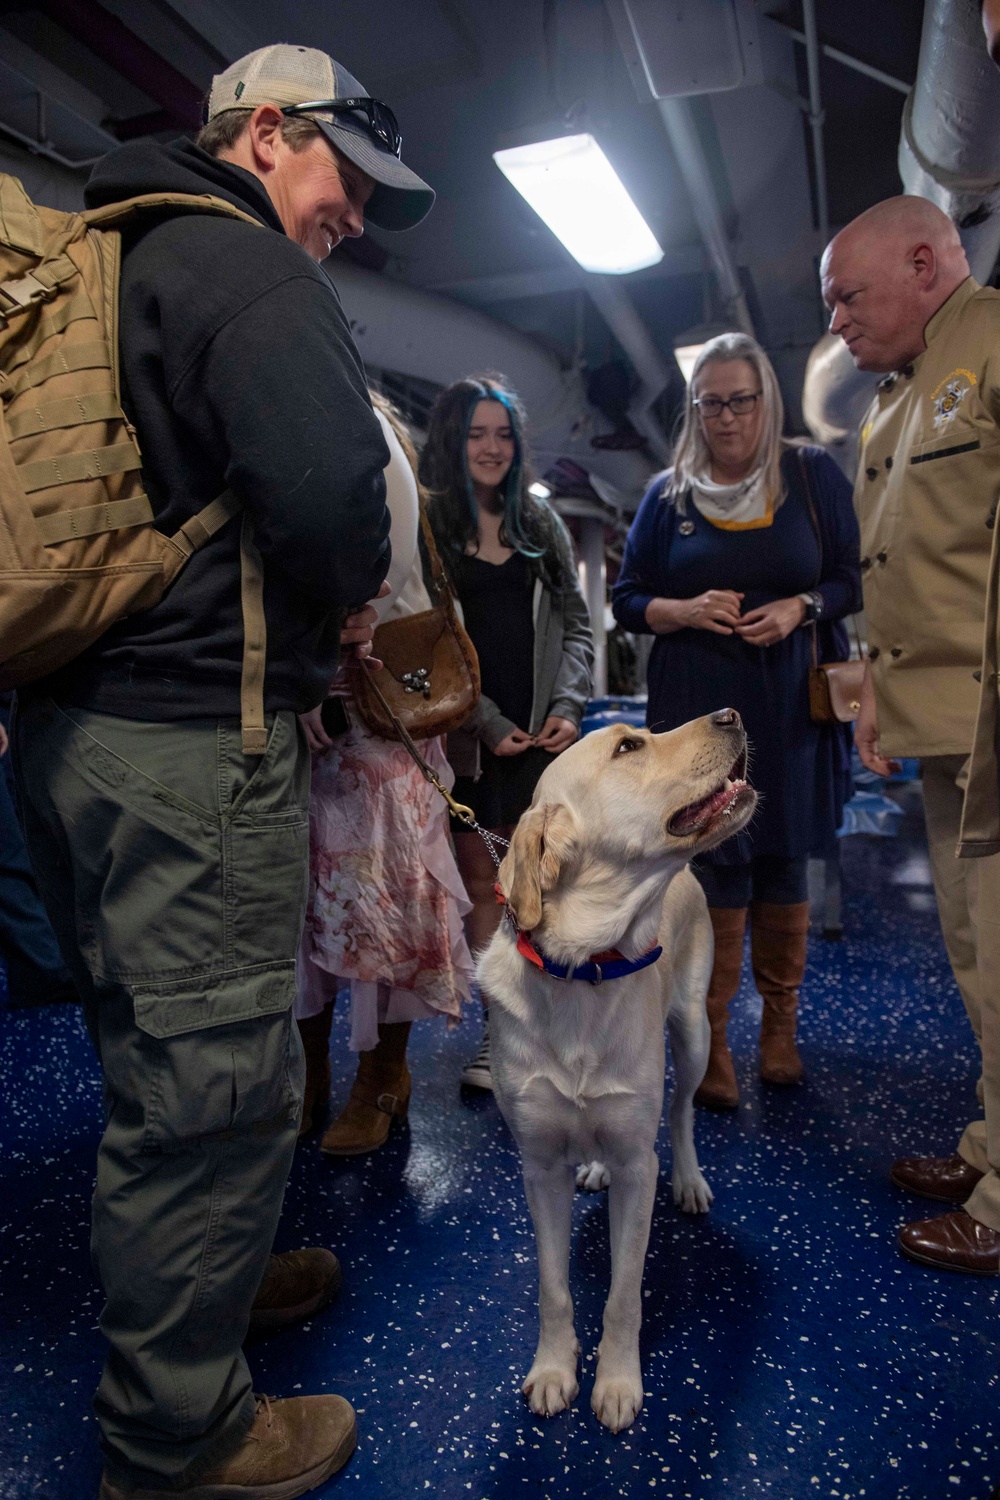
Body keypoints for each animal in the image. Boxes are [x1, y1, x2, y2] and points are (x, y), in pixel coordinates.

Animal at [479, 708, 755, 1434]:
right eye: (629, 746)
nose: (731, 713)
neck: (586, 969)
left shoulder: (638, 1169)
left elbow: (623, 1295)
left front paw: (617, 1384)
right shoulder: (539, 1167)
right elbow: (554, 1289)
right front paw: (554, 1371)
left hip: (694, 1034)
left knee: (682, 1115)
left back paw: (689, 1180)